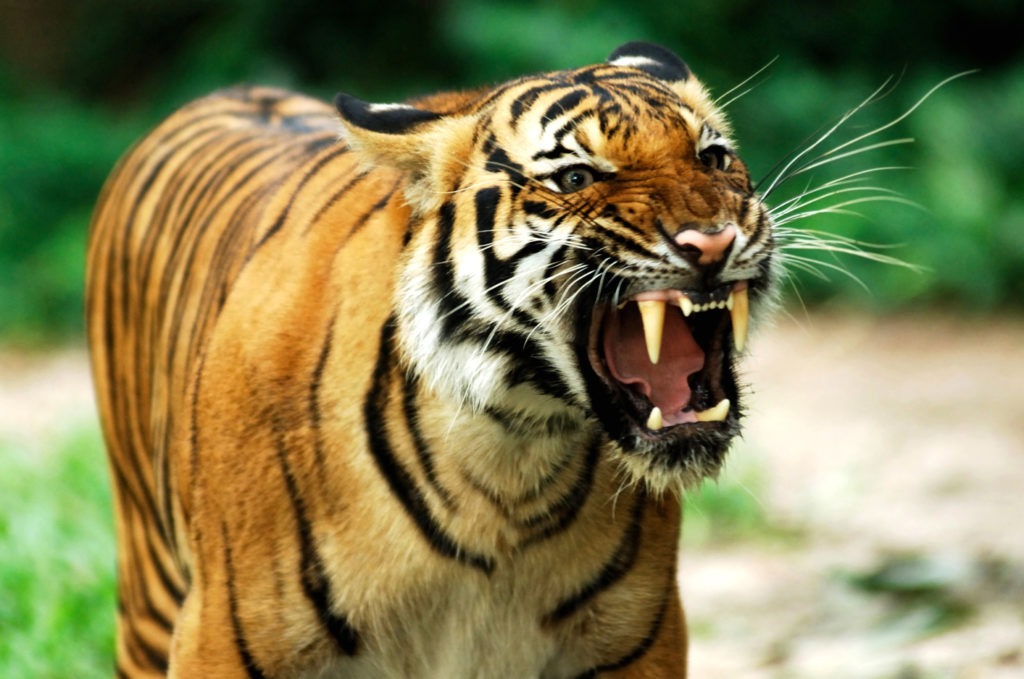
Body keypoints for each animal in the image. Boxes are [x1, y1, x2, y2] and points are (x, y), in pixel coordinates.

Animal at [88, 42, 774, 679]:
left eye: (713, 157)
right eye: (576, 179)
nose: (712, 241)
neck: (509, 466)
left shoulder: (635, 639)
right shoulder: (223, 640)